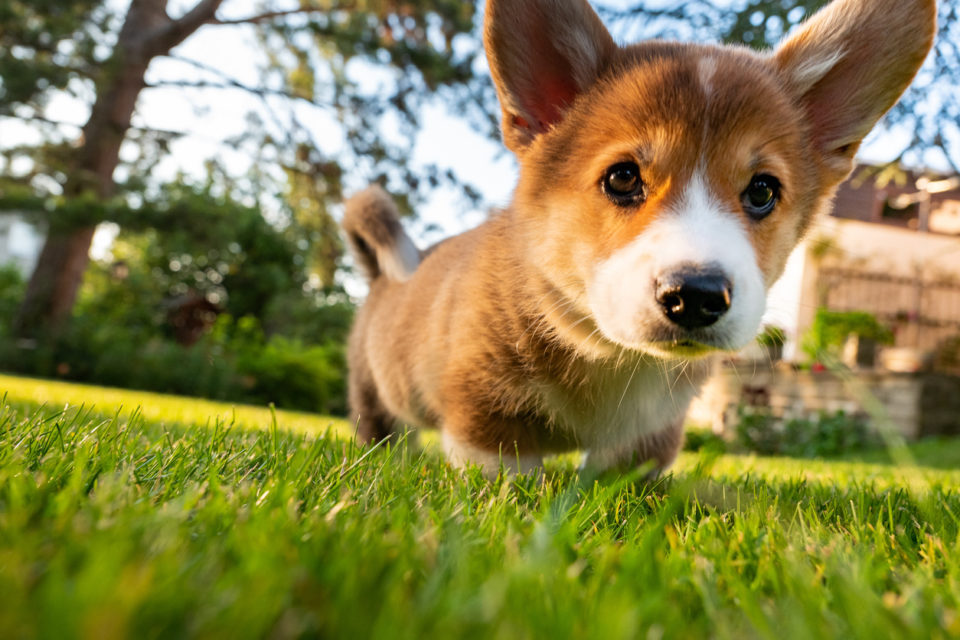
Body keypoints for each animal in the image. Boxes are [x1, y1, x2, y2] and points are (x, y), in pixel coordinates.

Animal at [342, 0, 932, 476]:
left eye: (763, 190)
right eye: (623, 178)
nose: (695, 296)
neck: (610, 354)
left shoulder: (650, 435)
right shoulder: (484, 413)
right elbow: (504, 478)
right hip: (375, 394)